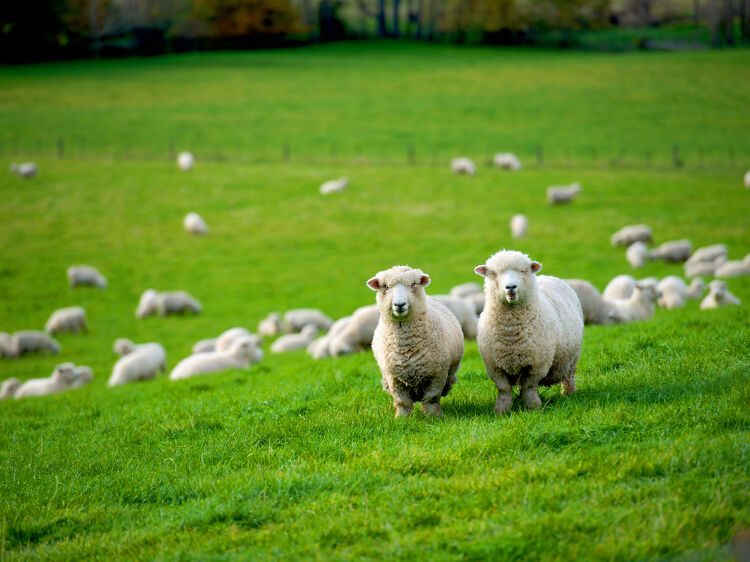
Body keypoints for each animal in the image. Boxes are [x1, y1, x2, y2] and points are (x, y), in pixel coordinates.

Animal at [367, 265, 464, 417]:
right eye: (386, 286)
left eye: (413, 284)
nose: (399, 304)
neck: (405, 345)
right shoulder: (394, 377)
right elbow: (402, 402)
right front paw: (401, 418)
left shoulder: (437, 375)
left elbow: (431, 399)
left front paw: (434, 417)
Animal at [474, 250, 583, 414]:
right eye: (494, 273)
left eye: (522, 271)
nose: (511, 287)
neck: (510, 331)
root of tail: (549, 276)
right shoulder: (494, 366)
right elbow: (504, 389)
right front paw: (501, 410)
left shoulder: (536, 364)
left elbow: (530, 388)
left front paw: (533, 408)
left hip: (573, 357)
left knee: (569, 376)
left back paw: (569, 394)